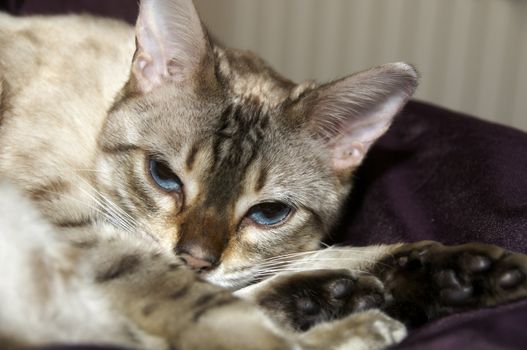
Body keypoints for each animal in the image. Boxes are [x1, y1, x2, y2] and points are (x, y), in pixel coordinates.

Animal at [1, 0, 527, 348]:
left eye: (269, 213)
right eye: (163, 176)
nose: (195, 259)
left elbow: (319, 255)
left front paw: (462, 274)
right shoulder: (69, 219)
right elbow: (206, 307)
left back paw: (343, 299)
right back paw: (352, 313)